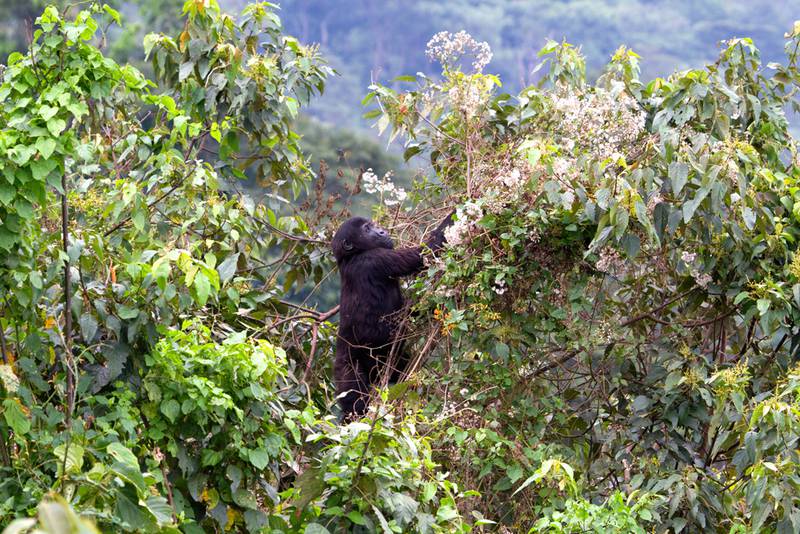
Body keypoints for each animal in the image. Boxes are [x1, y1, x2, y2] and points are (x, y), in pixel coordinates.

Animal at [332, 214, 454, 422]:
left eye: (372, 225)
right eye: (367, 229)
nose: (382, 231)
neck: (351, 256)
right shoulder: (376, 258)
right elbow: (424, 252)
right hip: (346, 368)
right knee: (354, 400)